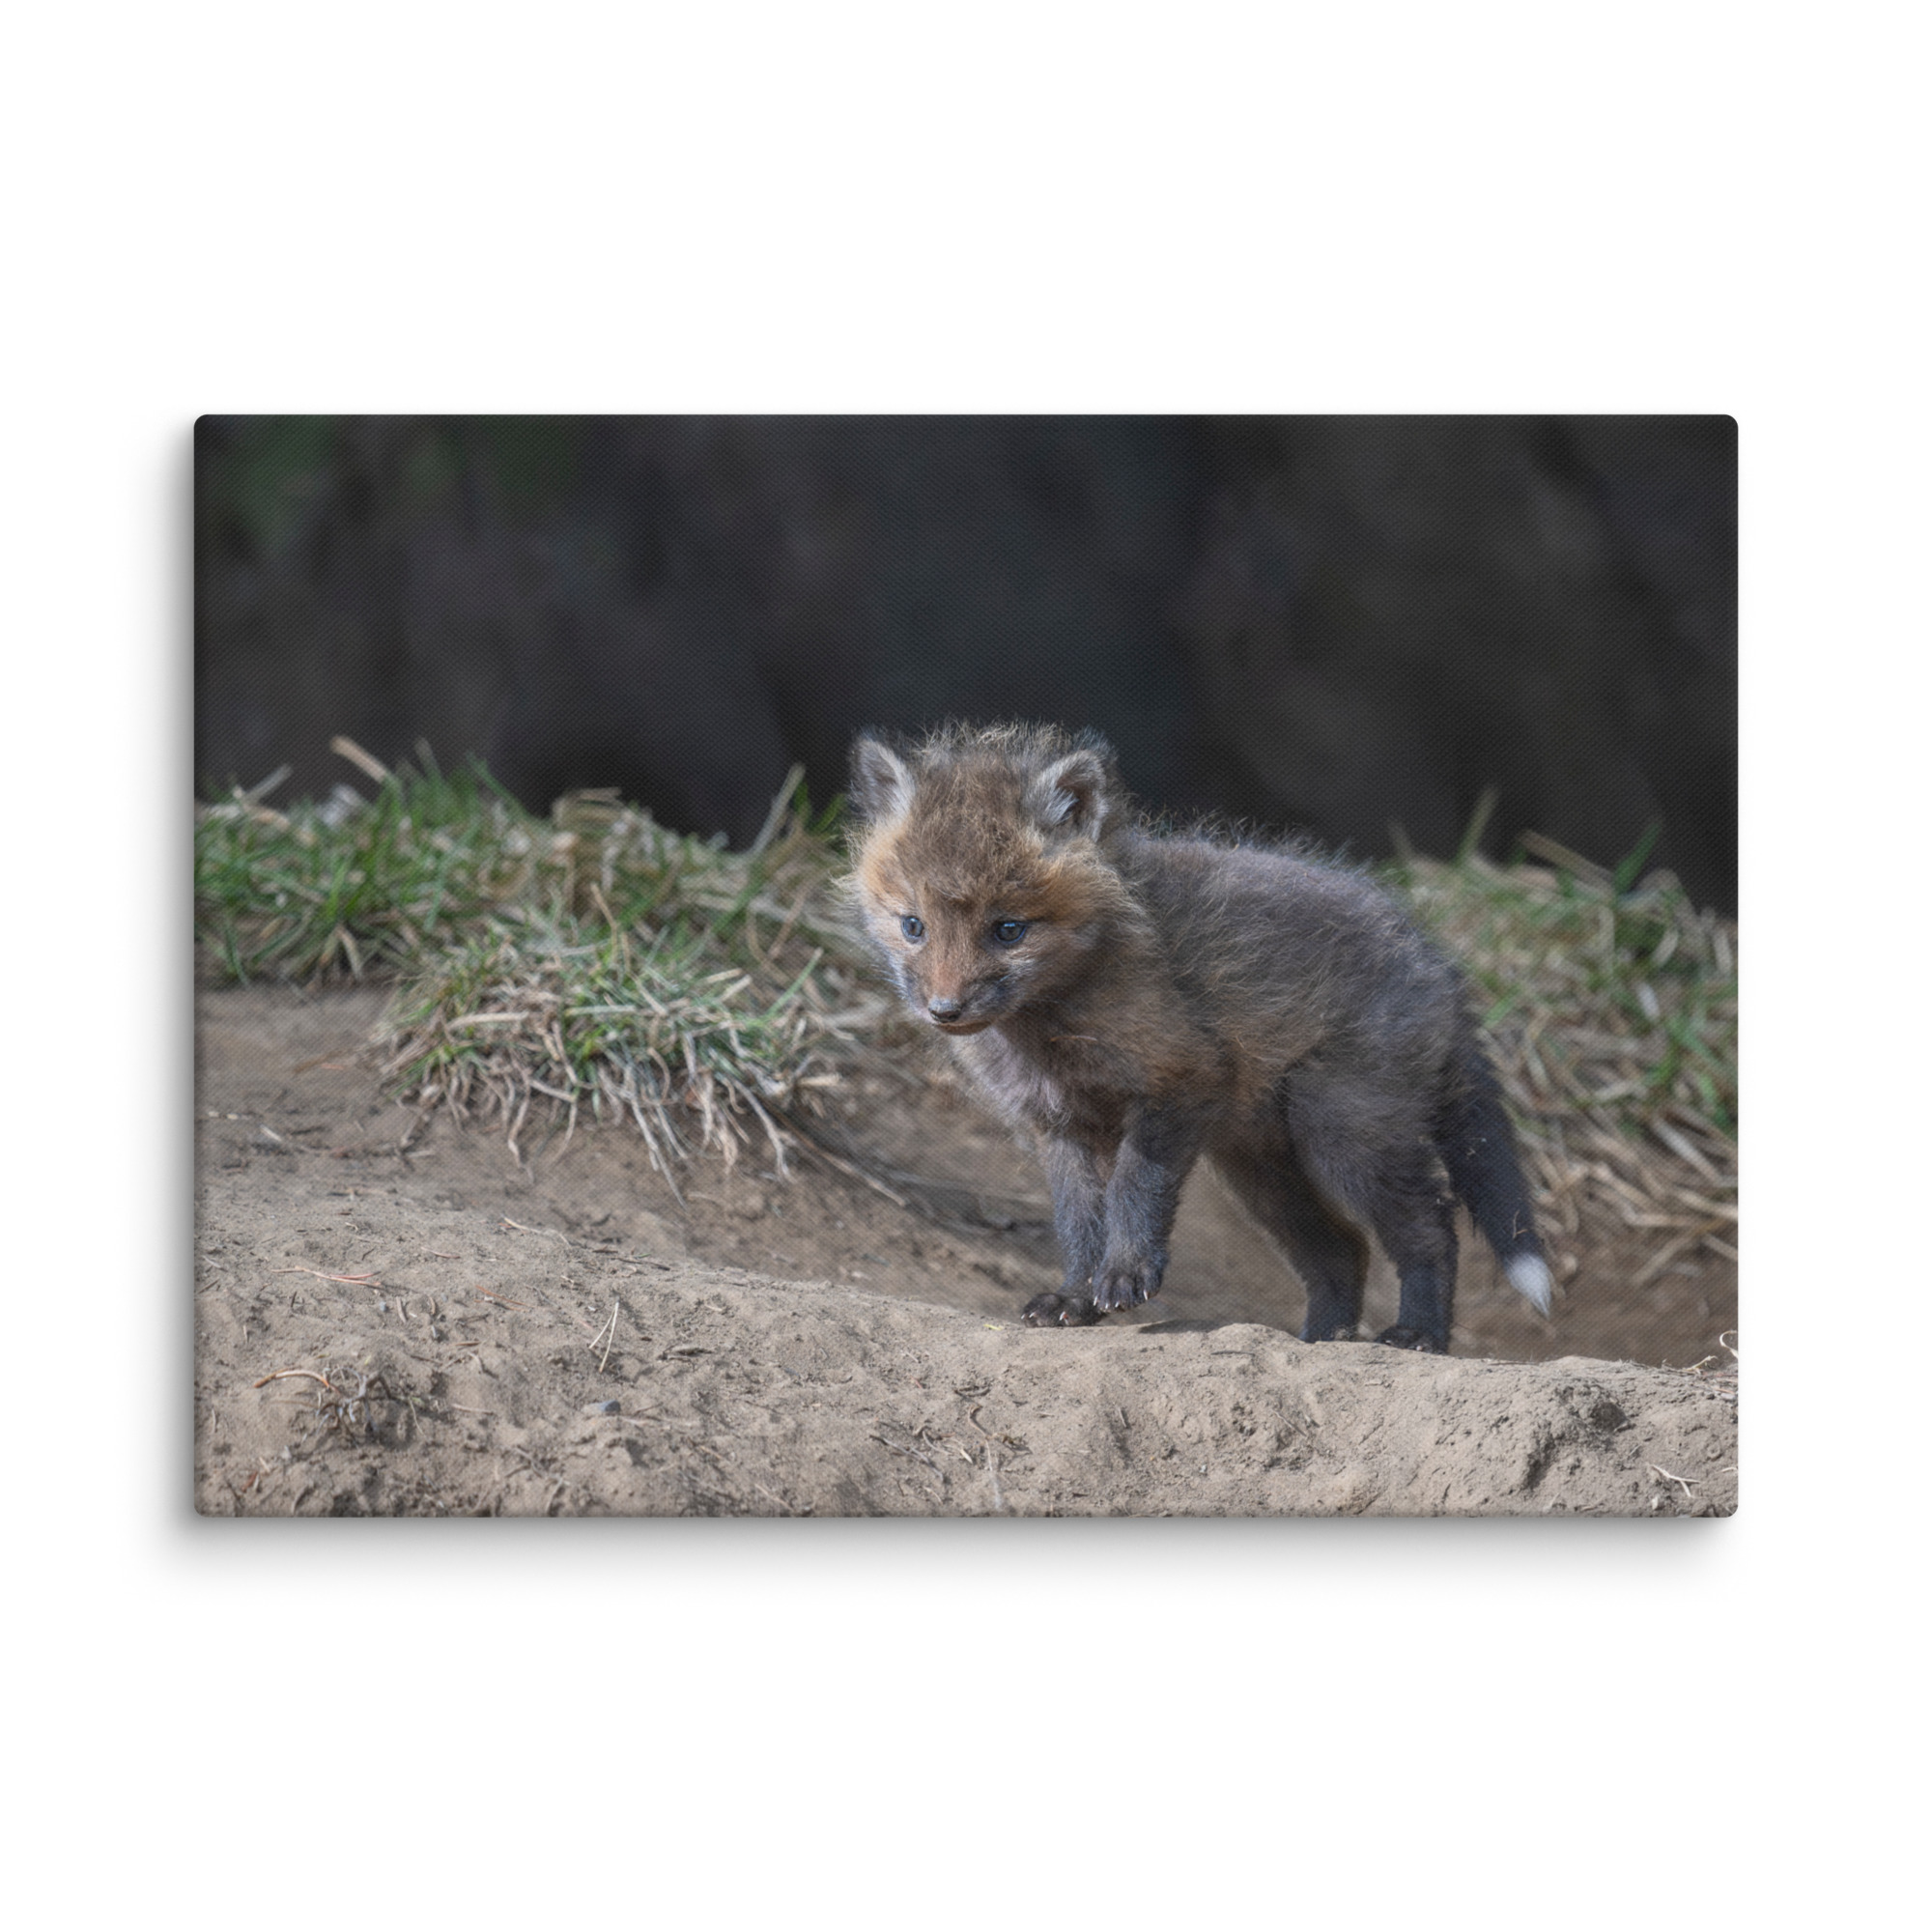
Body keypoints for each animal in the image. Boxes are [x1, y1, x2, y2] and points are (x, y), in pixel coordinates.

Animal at [843, 721, 1554, 1353]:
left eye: (1008, 930)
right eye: (913, 925)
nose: (945, 1010)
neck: (1051, 1030)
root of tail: (1437, 962)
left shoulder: (1180, 1079)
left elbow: (1134, 1189)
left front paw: (1126, 1274)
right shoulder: (1060, 1124)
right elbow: (1078, 1222)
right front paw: (1075, 1297)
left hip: (1344, 1132)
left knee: (1431, 1227)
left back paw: (1419, 1334)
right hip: (1261, 1168)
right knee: (1342, 1250)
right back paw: (1321, 1339)